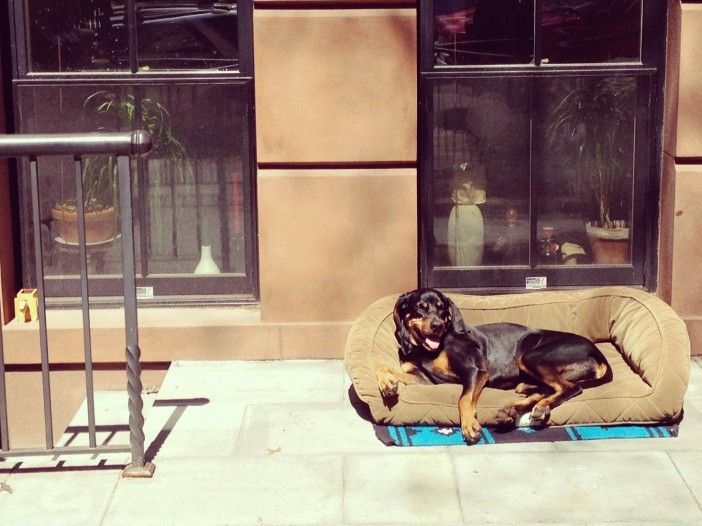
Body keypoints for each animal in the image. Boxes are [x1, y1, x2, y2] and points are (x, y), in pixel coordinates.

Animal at [376, 288, 612, 446]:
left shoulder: (474, 371)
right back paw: (515, 409)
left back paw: (537, 407)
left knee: (571, 388)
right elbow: (384, 368)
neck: (425, 350)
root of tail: (597, 352)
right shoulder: (424, 379)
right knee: (545, 388)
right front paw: (387, 384)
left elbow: (464, 399)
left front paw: (469, 426)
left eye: (442, 309)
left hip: (531, 357)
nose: (438, 326)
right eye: (421, 308)